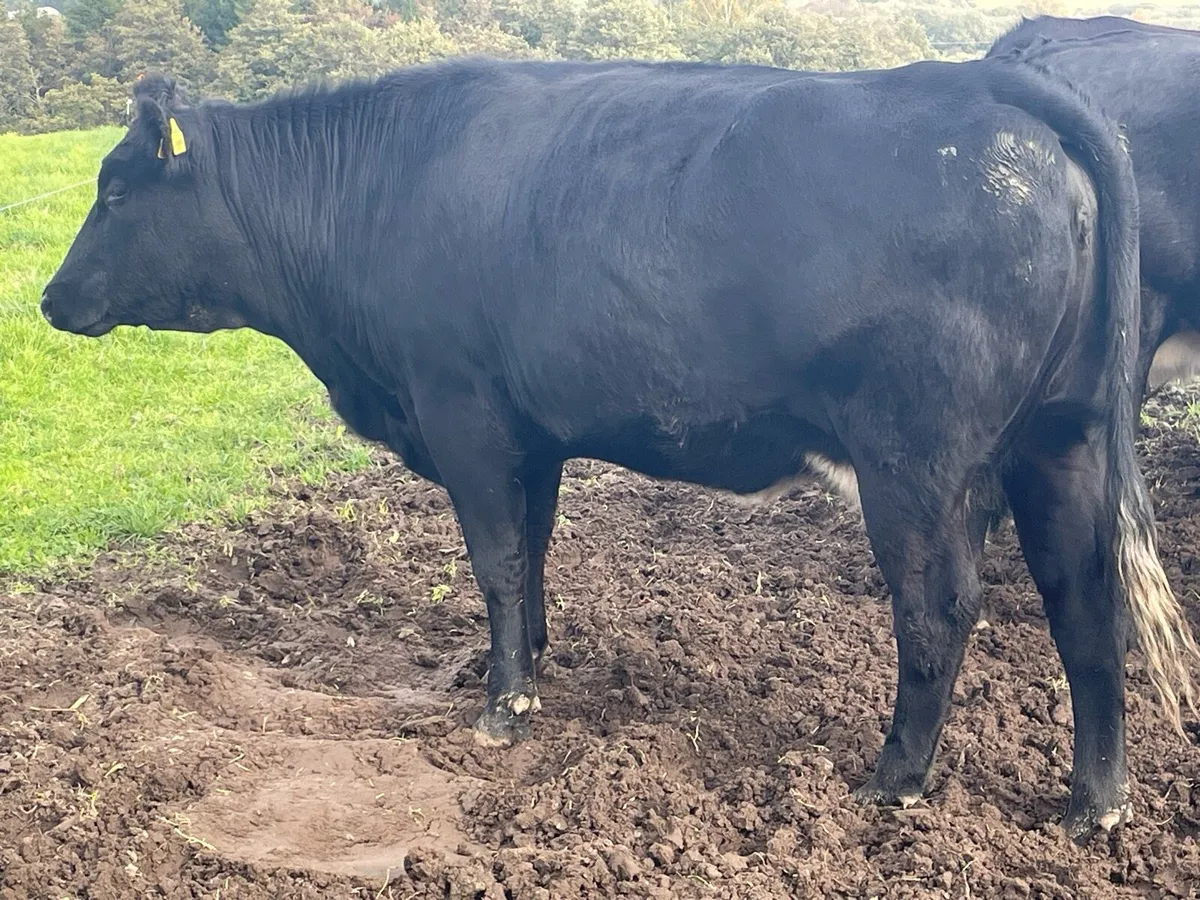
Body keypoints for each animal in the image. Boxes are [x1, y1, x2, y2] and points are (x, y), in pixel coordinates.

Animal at [39, 55, 1200, 842]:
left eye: (114, 191)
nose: (48, 299)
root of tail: (991, 85)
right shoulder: (530, 433)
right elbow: (531, 558)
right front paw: (526, 665)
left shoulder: (463, 411)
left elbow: (495, 560)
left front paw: (503, 708)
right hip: (1061, 439)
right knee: (1083, 598)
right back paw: (1095, 803)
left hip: (914, 457)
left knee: (943, 603)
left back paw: (895, 777)